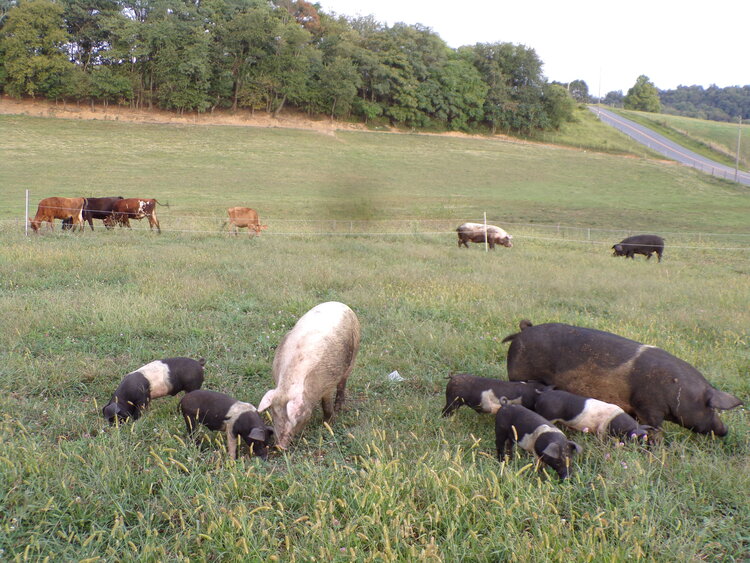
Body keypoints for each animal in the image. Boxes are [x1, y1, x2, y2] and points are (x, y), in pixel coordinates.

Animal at [258, 302, 362, 452]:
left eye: (297, 415)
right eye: (273, 412)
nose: (279, 446)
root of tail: (340, 304)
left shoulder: (328, 384)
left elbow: (327, 406)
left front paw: (328, 423)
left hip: (354, 353)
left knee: (343, 383)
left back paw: (339, 407)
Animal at [502, 322, 744, 436]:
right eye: (711, 407)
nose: (725, 431)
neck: (679, 390)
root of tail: (521, 332)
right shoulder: (649, 406)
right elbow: (655, 428)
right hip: (519, 376)